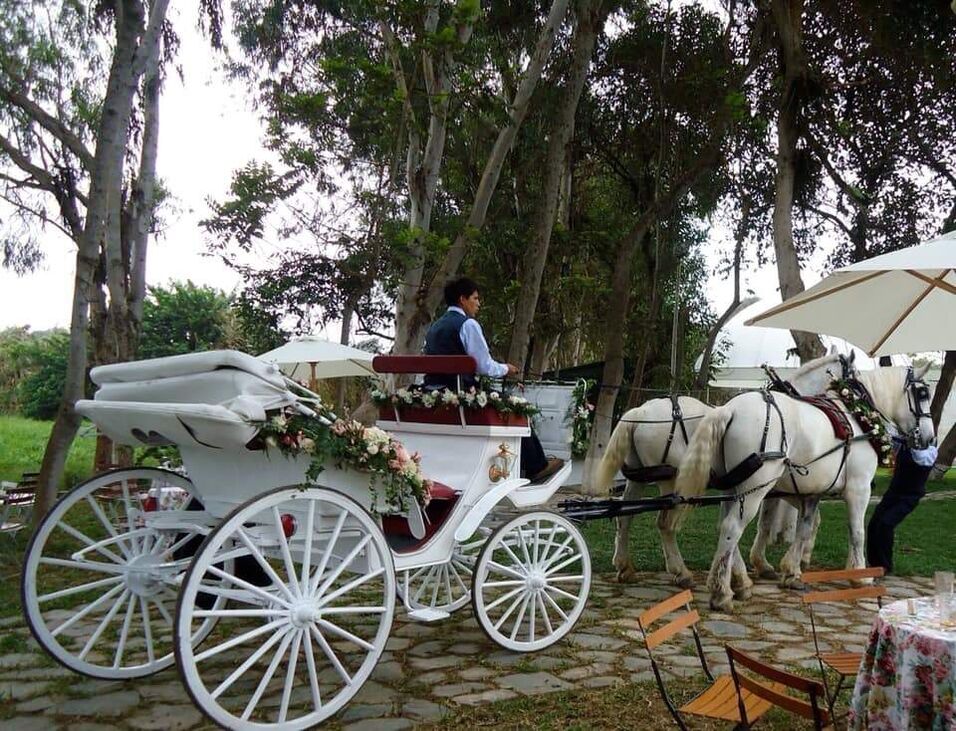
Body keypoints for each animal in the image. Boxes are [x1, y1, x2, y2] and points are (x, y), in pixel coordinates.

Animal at [592, 354, 844, 588]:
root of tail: (641, 413)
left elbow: (774, 520)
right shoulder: (773, 484)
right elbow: (780, 521)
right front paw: (788, 561)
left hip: (639, 476)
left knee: (625, 517)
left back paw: (625, 567)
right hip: (671, 480)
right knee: (664, 523)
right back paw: (681, 572)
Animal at [668, 362, 928, 612]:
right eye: (923, 393)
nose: (928, 438)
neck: (859, 415)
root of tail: (729, 409)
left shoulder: (811, 493)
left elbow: (804, 528)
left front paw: (792, 571)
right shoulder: (859, 488)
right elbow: (856, 531)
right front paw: (860, 576)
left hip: (735, 487)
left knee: (724, 524)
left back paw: (739, 582)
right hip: (757, 486)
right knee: (732, 527)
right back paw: (721, 593)